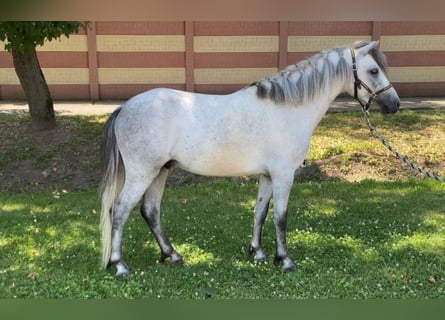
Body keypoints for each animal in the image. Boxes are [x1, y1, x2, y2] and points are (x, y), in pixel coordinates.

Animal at [99, 40, 398, 276]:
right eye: (373, 70)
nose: (395, 104)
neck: (288, 109)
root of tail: (125, 108)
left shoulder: (267, 175)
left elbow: (260, 213)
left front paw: (258, 253)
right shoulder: (283, 175)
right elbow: (280, 217)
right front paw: (285, 260)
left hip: (160, 171)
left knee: (150, 212)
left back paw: (172, 255)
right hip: (143, 173)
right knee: (120, 210)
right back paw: (120, 265)